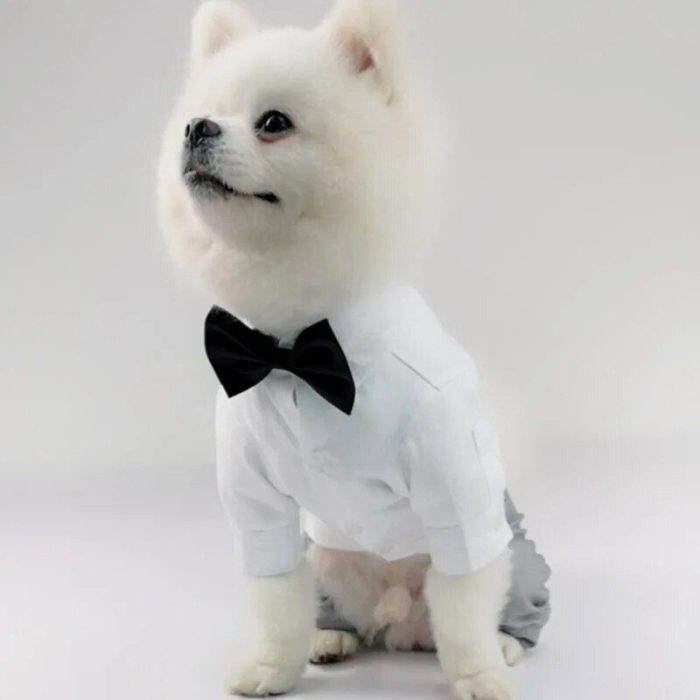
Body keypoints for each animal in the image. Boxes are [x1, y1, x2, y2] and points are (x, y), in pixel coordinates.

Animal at [160, 2, 532, 696]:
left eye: (273, 123)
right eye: (204, 110)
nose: (197, 129)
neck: (296, 347)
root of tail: (401, 620)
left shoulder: (456, 481)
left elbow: (465, 601)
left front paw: (478, 673)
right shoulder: (261, 505)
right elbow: (277, 597)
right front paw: (270, 665)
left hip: (519, 554)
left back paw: (507, 643)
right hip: (329, 557)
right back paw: (329, 637)